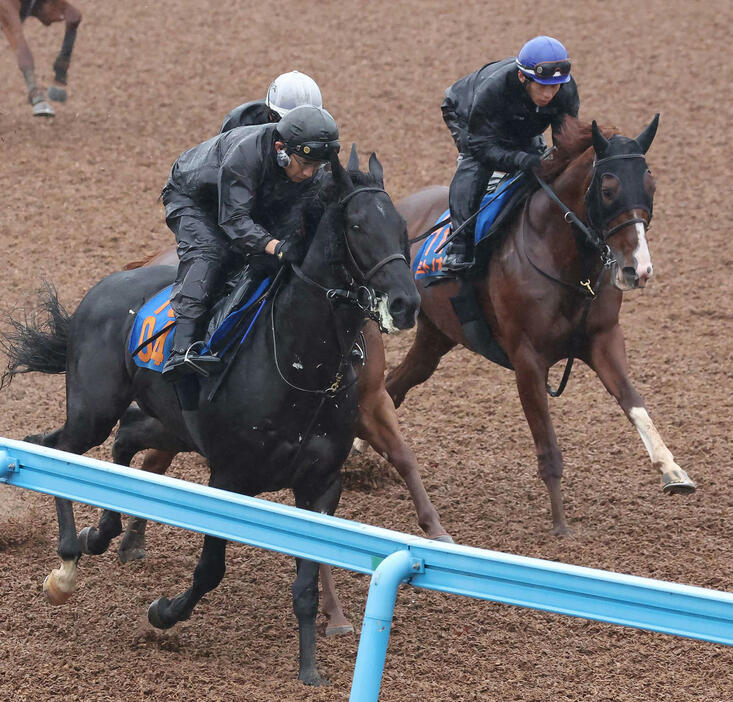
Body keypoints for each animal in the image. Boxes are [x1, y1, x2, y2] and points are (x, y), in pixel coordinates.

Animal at [1, 150, 418, 688]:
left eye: (402, 227)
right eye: (358, 225)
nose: (406, 303)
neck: (301, 366)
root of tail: (104, 286)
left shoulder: (321, 486)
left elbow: (305, 587)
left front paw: (309, 667)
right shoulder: (228, 479)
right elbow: (210, 571)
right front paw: (163, 613)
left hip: (170, 423)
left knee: (117, 440)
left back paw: (100, 532)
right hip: (93, 408)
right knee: (64, 452)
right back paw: (68, 562)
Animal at [386, 115, 696, 536]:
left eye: (651, 186)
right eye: (608, 189)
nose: (639, 270)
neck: (566, 263)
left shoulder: (603, 339)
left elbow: (633, 401)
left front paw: (673, 470)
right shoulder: (528, 360)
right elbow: (548, 445)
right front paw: (561, 525)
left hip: (437, 335)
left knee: (396, 382)